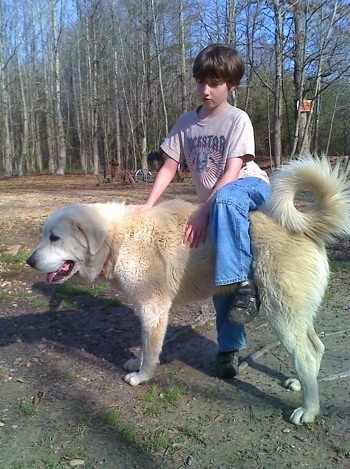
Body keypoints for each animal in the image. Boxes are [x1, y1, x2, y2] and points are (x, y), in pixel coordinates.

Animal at [27, 157, 350, 424]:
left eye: (55, 238)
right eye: (45, 235)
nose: (29, 261)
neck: (118, 238)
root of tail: (306, 227)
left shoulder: (153, 308)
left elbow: (151, 349)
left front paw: (142, 376)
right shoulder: (146, 309)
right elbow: (144, 345)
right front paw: (137, 362)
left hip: (281, 313)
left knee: (305, 355)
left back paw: (308, 410)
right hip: (295, 313)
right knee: (316, 347)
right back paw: (300, 384)